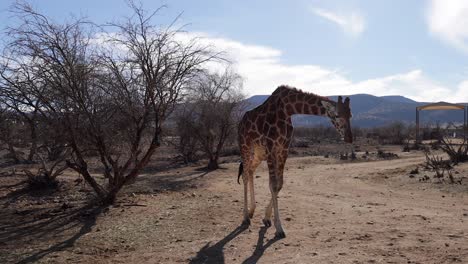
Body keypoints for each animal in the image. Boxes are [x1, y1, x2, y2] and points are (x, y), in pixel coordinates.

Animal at [238, 85, 352, 238]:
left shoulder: (283, 148)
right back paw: (245, 217)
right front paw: (279, 228)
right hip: (245, 144)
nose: (349, 138)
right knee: (245, 174)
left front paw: (267, 218)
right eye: (337, 116)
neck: (288, 109)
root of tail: (240, 122)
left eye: (350, 115)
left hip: (258, 151)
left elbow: (279, 184)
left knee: (250, 170)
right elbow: (273, 185)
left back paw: (251, 211)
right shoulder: (271, 146)